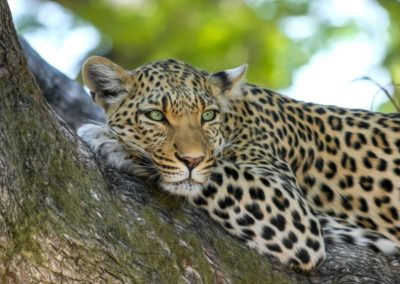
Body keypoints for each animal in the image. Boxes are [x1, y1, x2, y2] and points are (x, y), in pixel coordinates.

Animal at [78, 56, 400, 270]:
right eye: (156, 116)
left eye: (207, 115)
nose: (192, 159)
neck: (235, 119)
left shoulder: (291, 210)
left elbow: (215, 172)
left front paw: (109, 140)